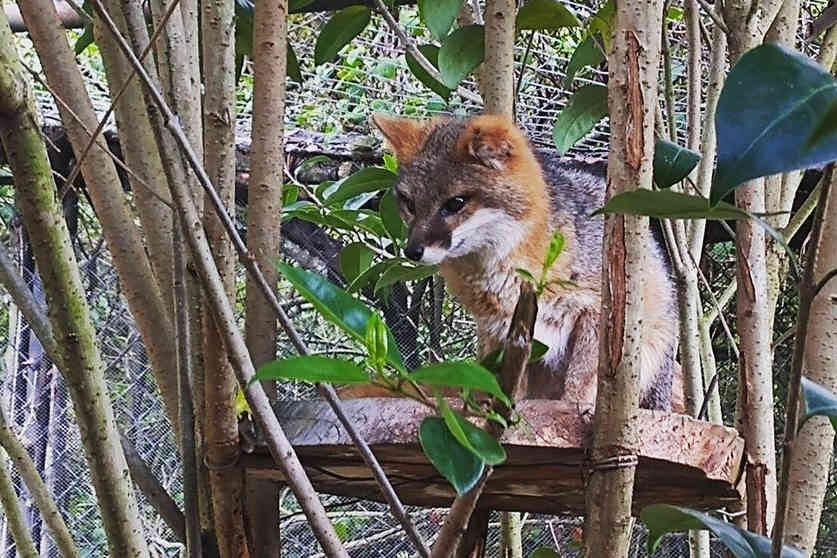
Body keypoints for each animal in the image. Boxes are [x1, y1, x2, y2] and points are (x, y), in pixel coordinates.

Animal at [368, 112, 684, 412]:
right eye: (410, 204)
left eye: (455, 203)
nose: (411, 251)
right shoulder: (504, 327)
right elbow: (510, 385)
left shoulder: (594, 312)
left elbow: (581, 377)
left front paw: (575, 408)